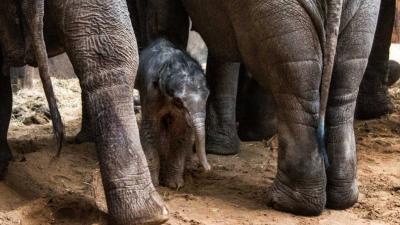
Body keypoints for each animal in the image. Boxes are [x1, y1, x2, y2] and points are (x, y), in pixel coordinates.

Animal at [138, 37, 211, 189]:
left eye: (208, 95)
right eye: (179, 101)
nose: (208, 169)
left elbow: (180, 131)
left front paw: (175, 185)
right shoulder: (150, 93)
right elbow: (150, 127)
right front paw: (155, 184)